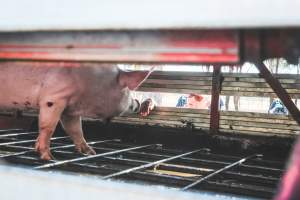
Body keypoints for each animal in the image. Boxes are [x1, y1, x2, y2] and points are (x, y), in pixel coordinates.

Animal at [0, 63, 154, 160]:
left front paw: (91, 152)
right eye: (127, 90)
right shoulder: (54, 97)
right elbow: (48, 127)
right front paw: (49, 158)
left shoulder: (69, 109)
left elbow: (75, 129)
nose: (138, 103)